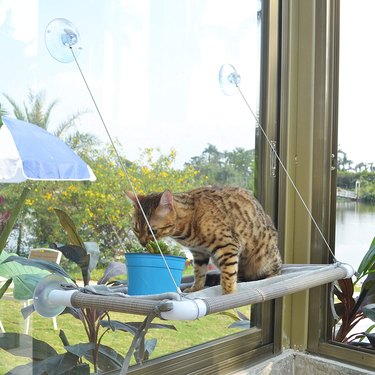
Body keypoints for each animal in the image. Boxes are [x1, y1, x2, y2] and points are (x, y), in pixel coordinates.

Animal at [126, 187, 282, 296]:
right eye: (136, 230)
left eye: (151, 230)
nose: (142, 243)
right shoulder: (199, 253)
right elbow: (199, 273)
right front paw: (196, 288)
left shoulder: (228, 246)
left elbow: (228, 274)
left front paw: (228, 293)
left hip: (265, 257)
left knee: (276, 269)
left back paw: (271, 276)